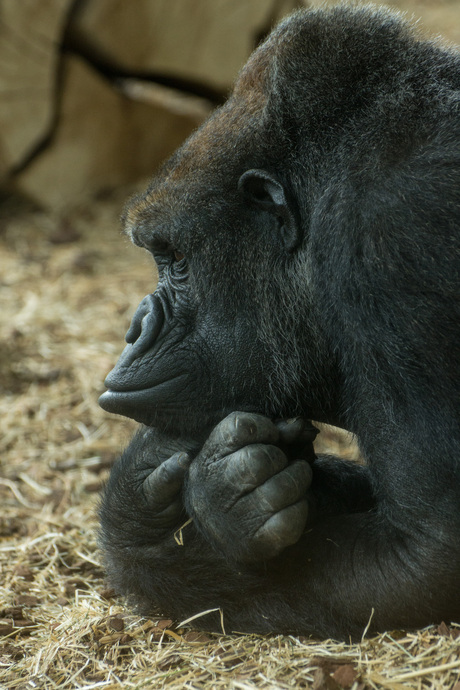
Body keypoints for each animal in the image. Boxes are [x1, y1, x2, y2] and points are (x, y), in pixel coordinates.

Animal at [98, 6, 460, 640]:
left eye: (176, 258)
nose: (135, 327)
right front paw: (145, 500)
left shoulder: (393, 233)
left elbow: (426, 555)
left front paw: (157, 543)